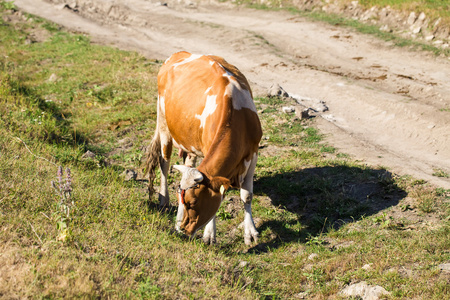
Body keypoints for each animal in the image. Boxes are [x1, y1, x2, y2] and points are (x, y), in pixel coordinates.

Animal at [146, 51, 262, 244]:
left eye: (192, 202)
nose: (180, 230)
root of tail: (179, 54)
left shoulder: (253, 154)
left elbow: (247, 196)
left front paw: (250, 232)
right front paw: (209, 234)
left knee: (188, 162)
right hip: (163, 123)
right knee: (164, 162)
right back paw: (163, 200)